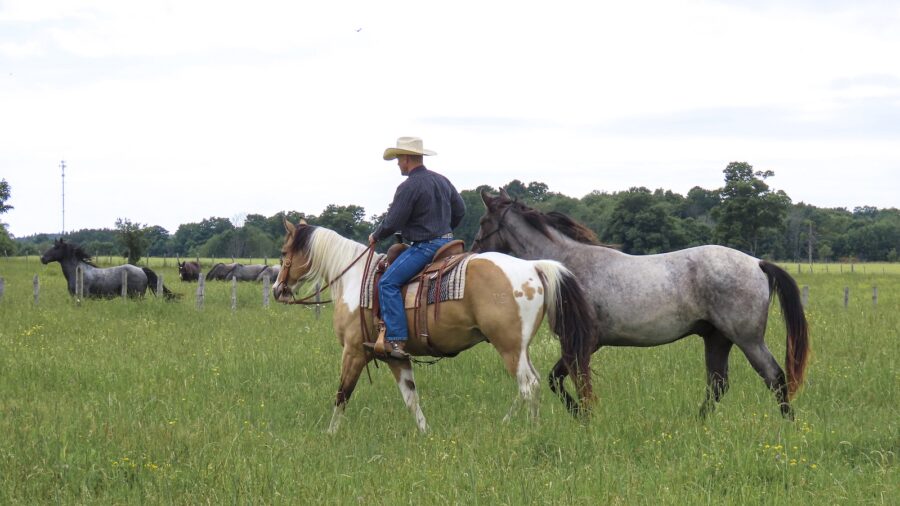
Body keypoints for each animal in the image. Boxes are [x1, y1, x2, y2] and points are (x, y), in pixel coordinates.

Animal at [272, 219, 596, 433]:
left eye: (284, 252)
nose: (277, 289)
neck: (353, 279)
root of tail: (533, 266)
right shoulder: (395, 357)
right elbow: (411, 398)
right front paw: (425, 433)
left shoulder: (353, 352)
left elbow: (342, 394)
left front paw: (330, 434)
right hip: (520, 348)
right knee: (532, 384)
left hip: (509, 347)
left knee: (528, 386)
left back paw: (530, 431)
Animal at [472, 190, 809, 419]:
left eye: (483, 221)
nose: (473, 252)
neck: (566, 267)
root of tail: (757, 263)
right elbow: (563, 381)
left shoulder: (582, 342)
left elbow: (567, 381)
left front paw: (583, 416)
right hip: (717, 338)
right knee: (718, 385)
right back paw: (698, 424)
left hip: (747, 339)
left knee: (774, 377)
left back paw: (787, 426)